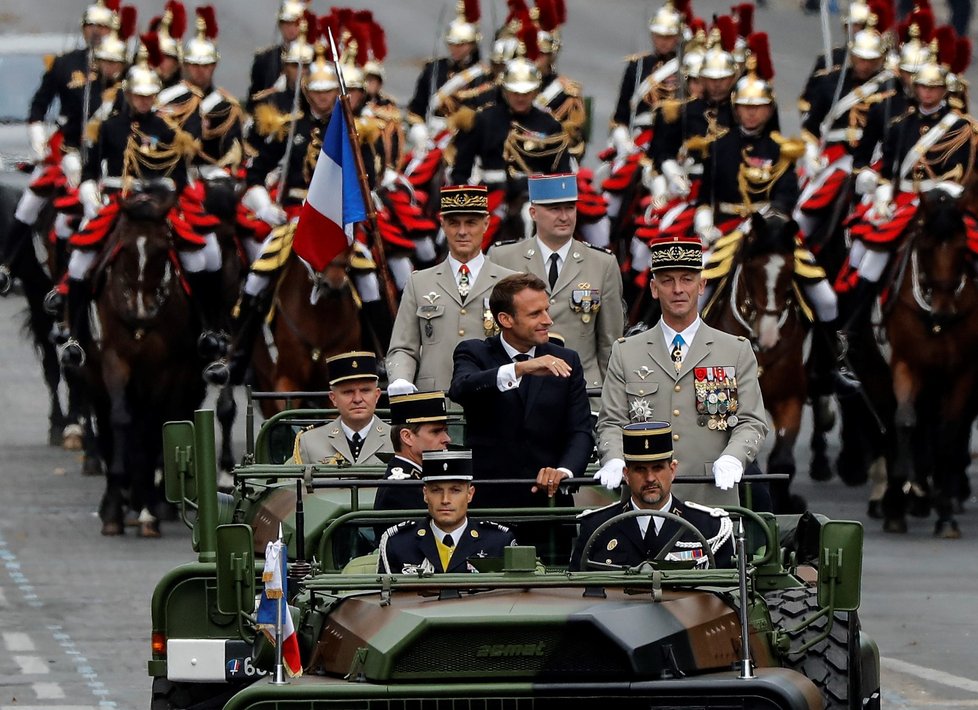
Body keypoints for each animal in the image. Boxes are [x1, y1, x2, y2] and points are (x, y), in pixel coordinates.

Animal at [82, 181, 206, 536]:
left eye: (165, 248)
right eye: (123, 247)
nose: (141, 311)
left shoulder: (167, 368)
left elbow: (154, 426)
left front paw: (150, 509)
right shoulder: (113, 359)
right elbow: (122, 419)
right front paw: (114, 507)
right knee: (109, 422)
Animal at [876, 189, 976, 540]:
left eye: (962, 247)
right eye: (927, 247)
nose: (942, 312)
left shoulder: (961, 373)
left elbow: (947, 434)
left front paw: (945, 516)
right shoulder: (906, 363)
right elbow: (905, 421)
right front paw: (907, 484)